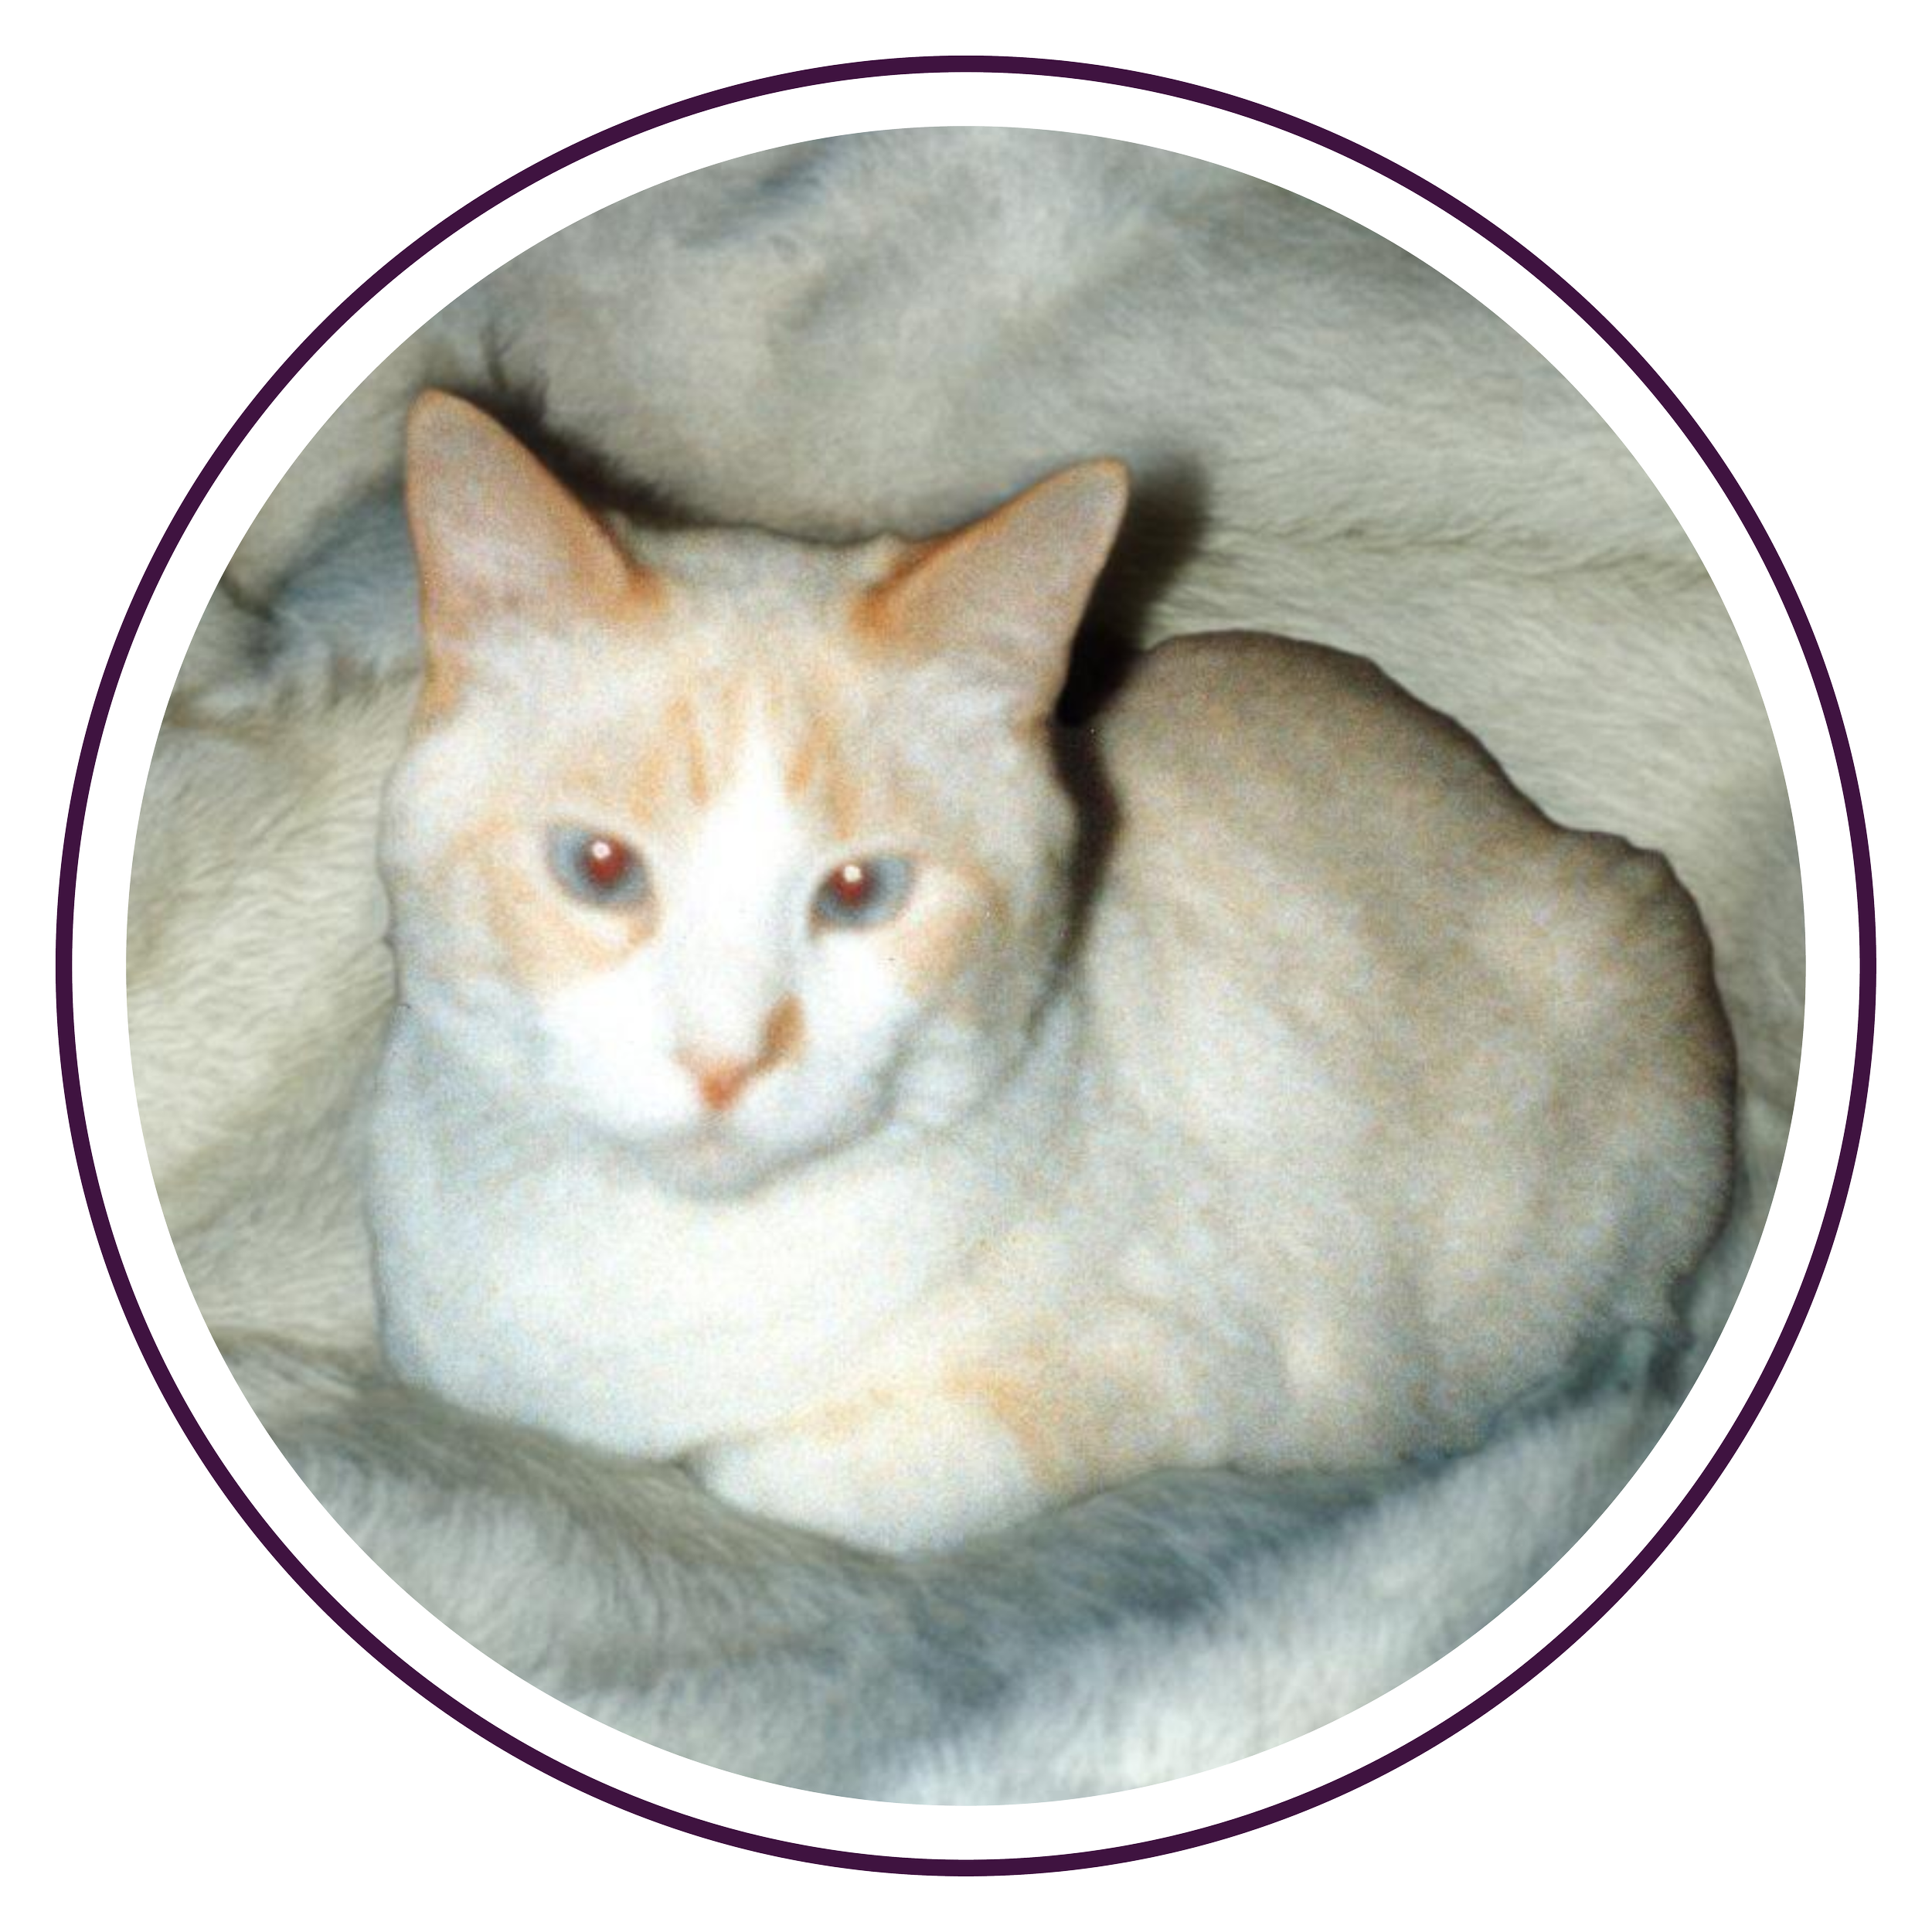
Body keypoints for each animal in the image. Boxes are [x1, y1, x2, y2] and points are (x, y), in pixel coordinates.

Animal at [365, 391, 1736, 1557]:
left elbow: (791, 1476)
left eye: (861, 892)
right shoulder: (432, 1349)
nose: (725, 1060)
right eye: (598, 869)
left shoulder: (1220, 1377)